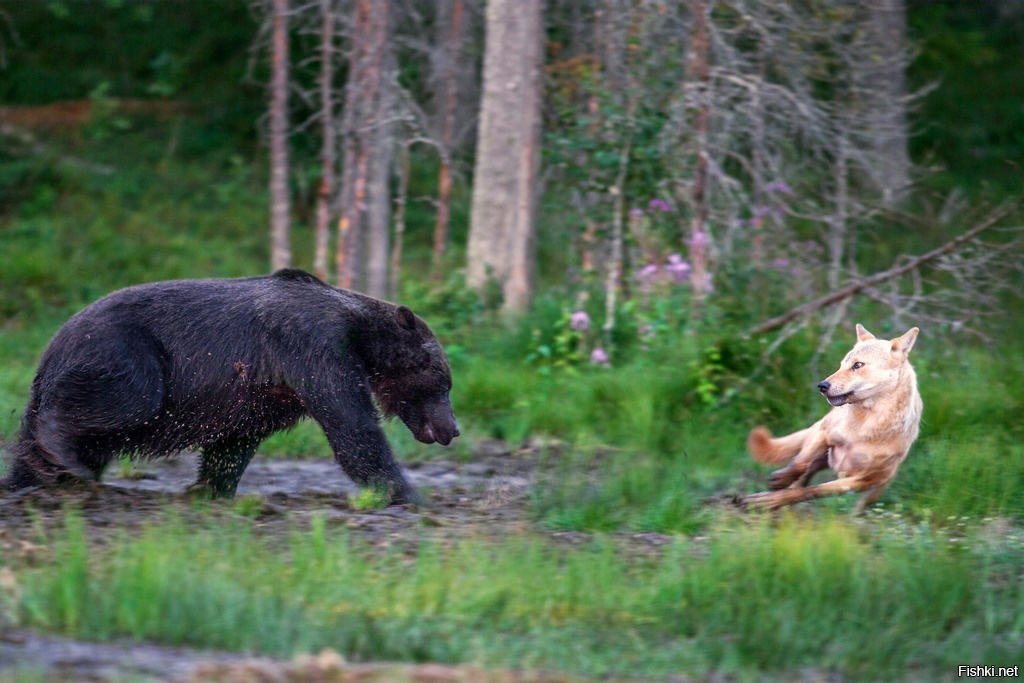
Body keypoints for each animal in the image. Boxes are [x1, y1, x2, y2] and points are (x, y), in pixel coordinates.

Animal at [0, 270, 456, 505]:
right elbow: (353, 426)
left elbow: (233, 444)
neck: (361, 336)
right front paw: (407, 492)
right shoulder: (312, 348)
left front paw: (209, 488)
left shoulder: (262, 394)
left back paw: (36, 478)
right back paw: (63, 455)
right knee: (125, 401)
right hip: (125, 352)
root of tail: (53, 344)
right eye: (443, 379)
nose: (453, 428)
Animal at [741, 325, 925, 511]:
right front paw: (778, 481)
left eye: (857, 365)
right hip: (819, 446)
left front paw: (768, 499)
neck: (865, 425)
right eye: (841, 365)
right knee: (800, 471)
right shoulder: (824, 434)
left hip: (874, 489)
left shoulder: (860, 480)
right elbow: (799, 465)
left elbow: (811, 491)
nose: (822, 386)